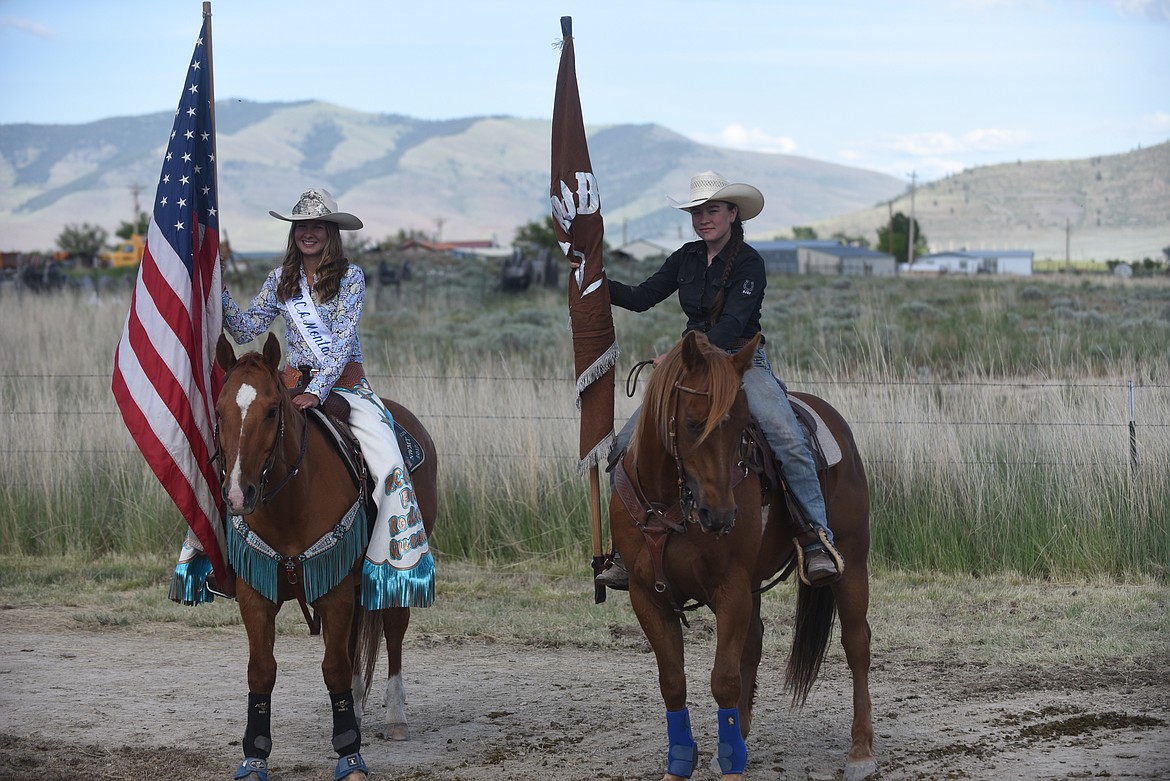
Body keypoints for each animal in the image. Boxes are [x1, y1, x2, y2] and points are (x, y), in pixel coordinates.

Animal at [211, 334, 439, 781]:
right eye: (220, 409)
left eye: (272, 409)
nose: (238, 494)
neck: (289, 502)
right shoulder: (257, 592)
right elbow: (261, 669)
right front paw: (255, 756)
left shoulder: (333, 591)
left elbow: (333, 667)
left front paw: (349, 757)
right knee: (353, 646)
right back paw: (358, 706)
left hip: (392, 573)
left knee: (393, 630)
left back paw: (395, 717)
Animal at [608, 332, 875, 781]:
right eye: (694, 423)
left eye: (739, 431)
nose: (720, 516)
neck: (670, 504)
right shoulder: (647, 596)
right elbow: (673, 681)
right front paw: (682, 762)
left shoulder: (729, 588)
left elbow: (724, 680)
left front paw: (732, 764)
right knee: (754, 642)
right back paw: (742, 738)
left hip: (852, 560)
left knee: (857, 643)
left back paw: (861, 751)